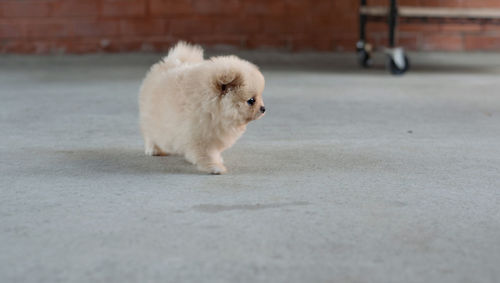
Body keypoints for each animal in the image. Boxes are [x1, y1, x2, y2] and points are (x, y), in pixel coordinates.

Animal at [139, 42, 266, 175]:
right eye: (251, 100)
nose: (263, 108)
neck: (211, 109)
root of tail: (168, 63)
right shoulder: (200, 137)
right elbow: (207, 154)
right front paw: (215, 167)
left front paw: (217, 160)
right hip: (152, 119)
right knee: (151, 135)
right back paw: (154, 149)